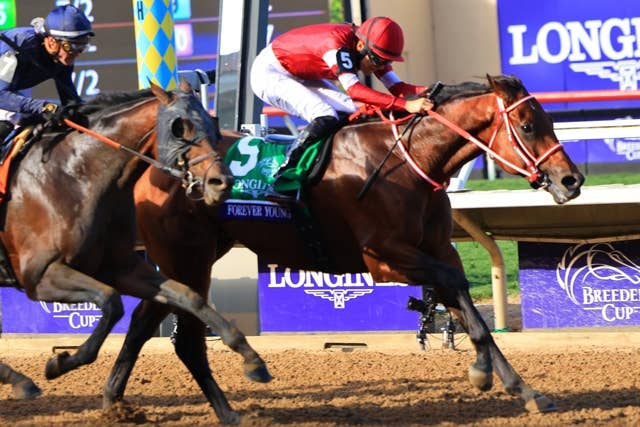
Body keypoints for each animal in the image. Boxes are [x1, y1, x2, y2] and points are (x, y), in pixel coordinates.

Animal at [0, 81, 270, 413]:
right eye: (180, 127)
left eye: (213, 126)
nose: (221, 182)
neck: (75, 177)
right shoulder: (40, 276)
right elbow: (112, 301)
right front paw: (61, 362)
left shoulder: (120, 266)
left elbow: (188, 296)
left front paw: (252, 359)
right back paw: (21, 380)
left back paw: (19, 380)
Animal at [105, 74, 584, 422]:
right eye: (528, 126)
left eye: (549, 123)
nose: (572, 180)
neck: (411, 160)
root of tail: (158, 163)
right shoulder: (386, 258)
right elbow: (456, 290)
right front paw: (483, 373)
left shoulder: (438, 251)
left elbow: (468, 310)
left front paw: (524, 389)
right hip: (188, 257)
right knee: (180, 337)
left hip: (189, 258)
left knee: (146, 321)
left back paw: (116, 400)